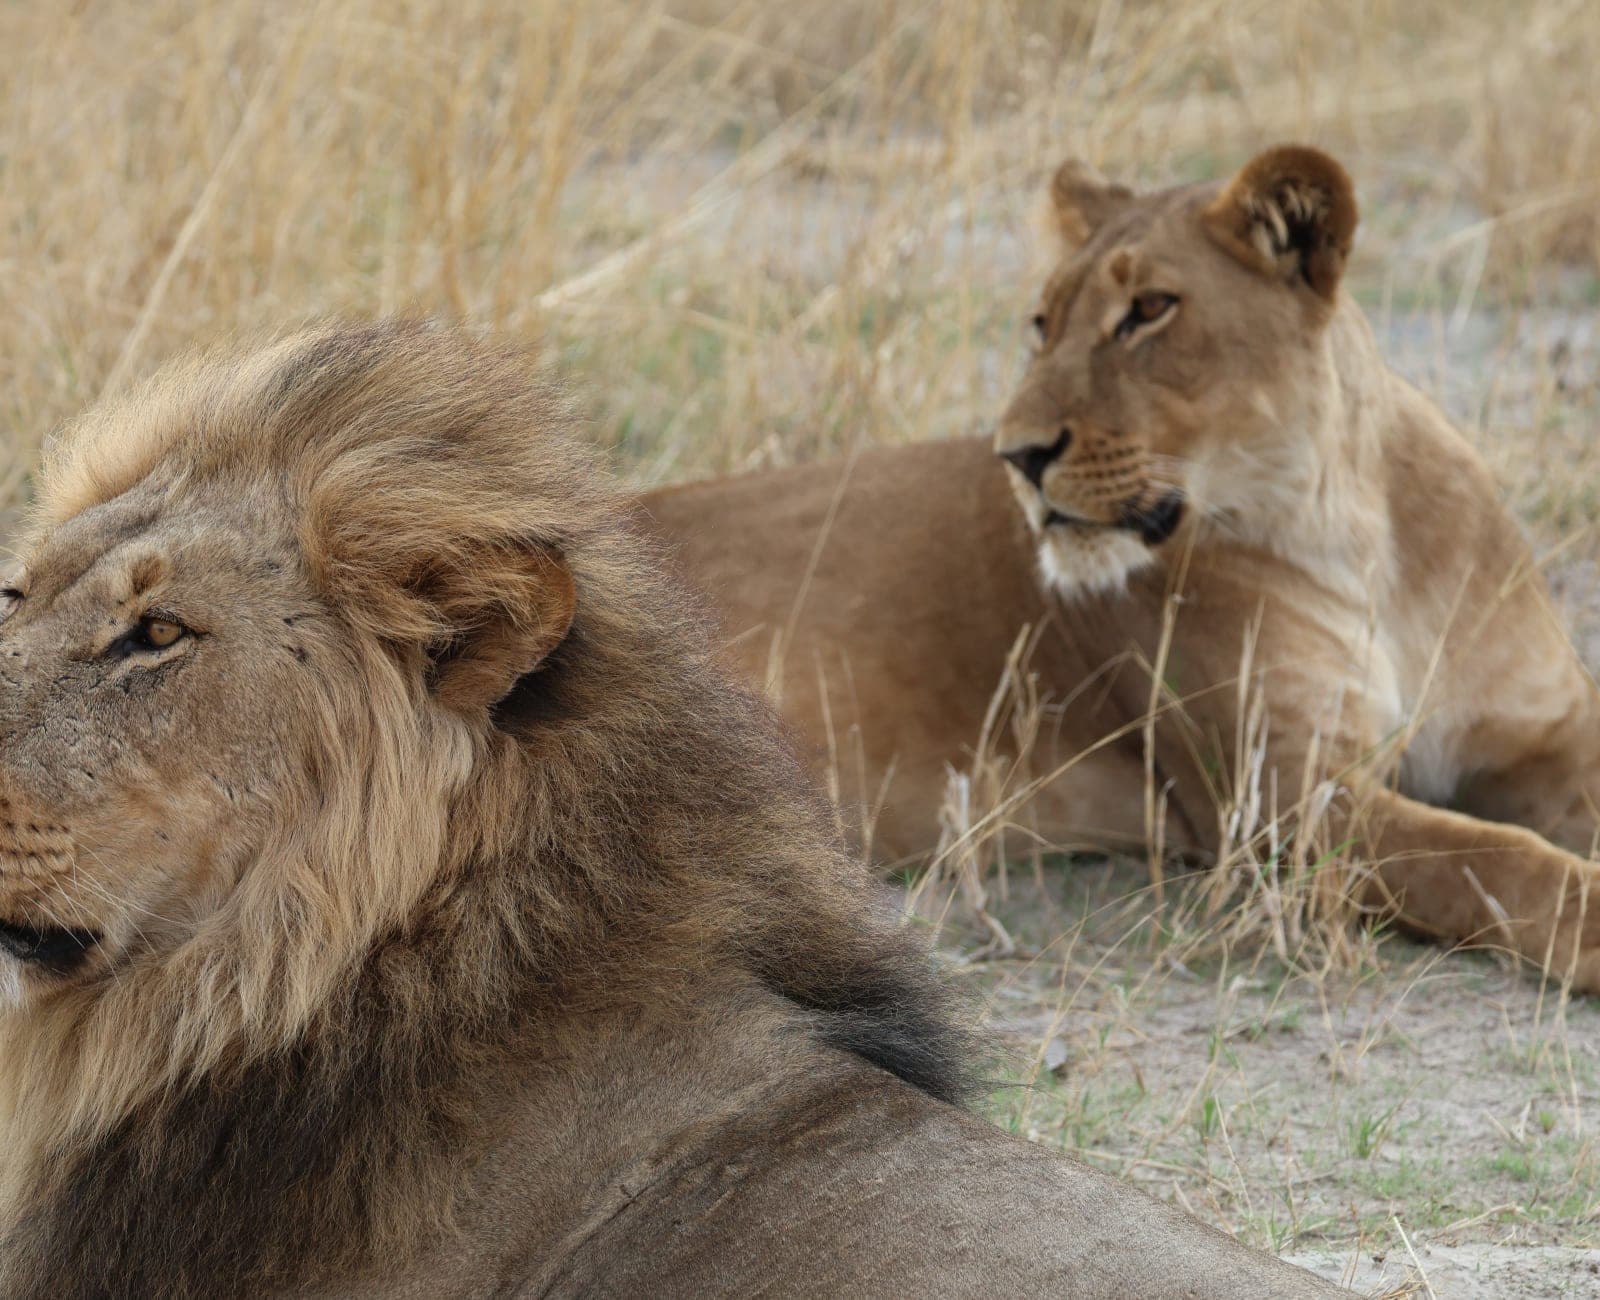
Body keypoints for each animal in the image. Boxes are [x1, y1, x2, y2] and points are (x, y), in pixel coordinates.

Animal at [645, 145, 1600, 992]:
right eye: (1043, 324)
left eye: (1149, 309)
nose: (1018, 456)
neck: (1348, 525)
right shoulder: (1271, 798)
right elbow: (1484, 854)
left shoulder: (1538, 732)